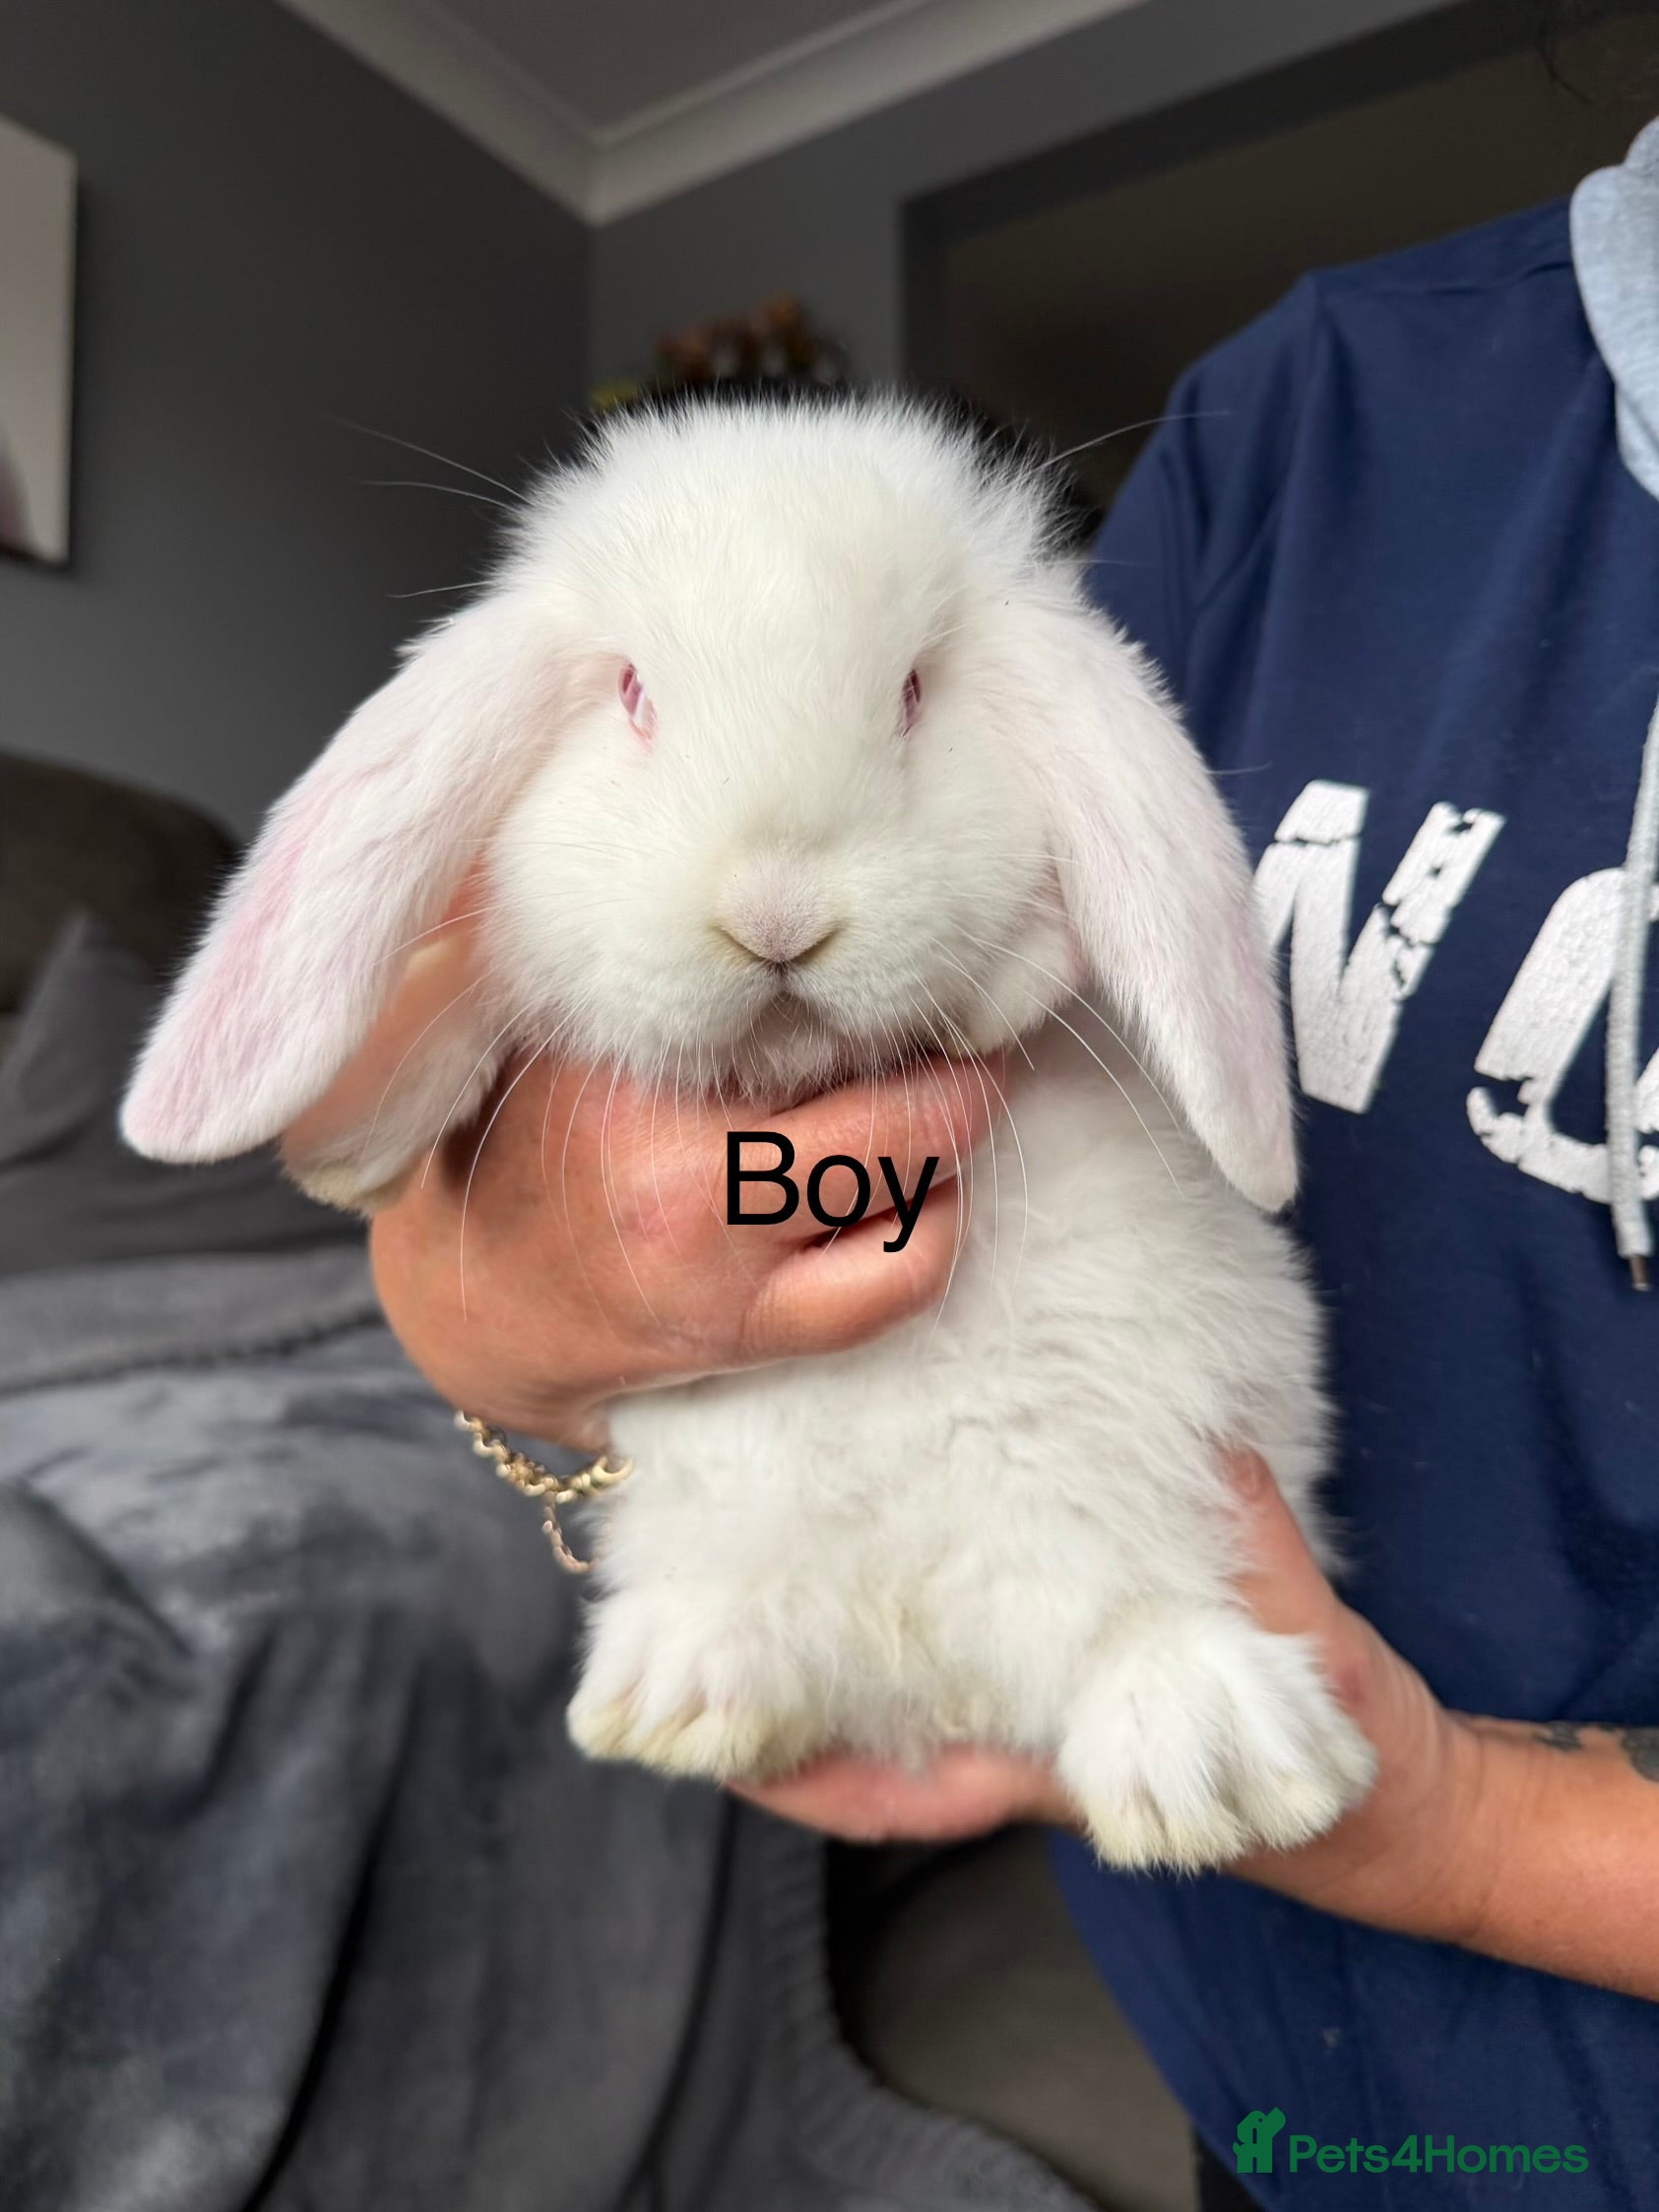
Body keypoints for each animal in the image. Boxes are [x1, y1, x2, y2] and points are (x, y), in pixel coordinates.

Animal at [122, 394, 1376, 1871]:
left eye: (910, 695)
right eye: (631, 694)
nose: (776, 915)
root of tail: (922, 1666)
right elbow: (484, 963)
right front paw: (346, 1143)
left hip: (1144, 1496)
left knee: (1143, 1616)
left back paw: (1220, 1772)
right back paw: (682, 1695)